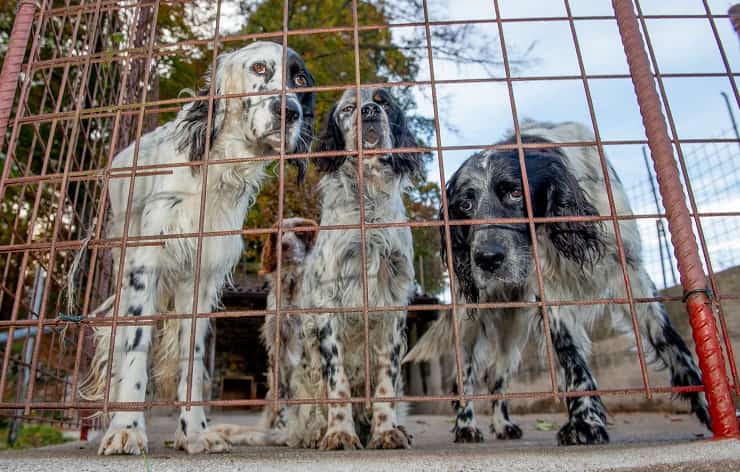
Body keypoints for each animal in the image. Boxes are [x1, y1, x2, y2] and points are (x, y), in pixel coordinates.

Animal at [404, 121, 712, 446]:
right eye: (465, 204)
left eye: (516, 192)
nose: (486, 259)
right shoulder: (550, 295)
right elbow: (573, 360)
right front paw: (585, 421)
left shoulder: (631, 273)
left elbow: (673, 345)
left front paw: (710, 406)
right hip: (479, 323)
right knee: (465, 378)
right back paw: (466, 426)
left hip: (512, 330)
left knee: (496, 377)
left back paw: (503, 424)